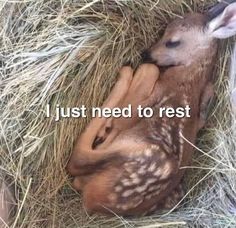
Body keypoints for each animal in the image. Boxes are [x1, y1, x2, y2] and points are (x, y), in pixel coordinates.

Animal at [66, 1, 236, 216]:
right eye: (164, 30)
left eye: (172, 42)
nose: (145, 54)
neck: (189, 77)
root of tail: (98, 202)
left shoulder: (155, 96)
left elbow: (149, 73)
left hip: (133, 149)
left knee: (78, 161)